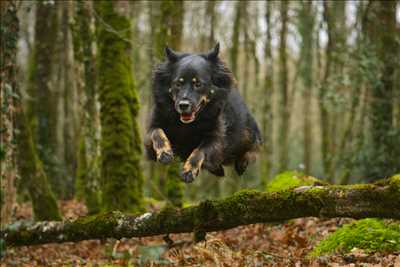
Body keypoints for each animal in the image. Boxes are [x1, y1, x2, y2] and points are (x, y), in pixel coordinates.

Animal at [145, 44, 260, 184]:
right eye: (178, 83)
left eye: (198, 84)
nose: (183, 105)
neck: (187, 123)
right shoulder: (154, 124)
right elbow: (157, 133)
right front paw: (164, 152)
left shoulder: (215, 137)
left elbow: (200, 151)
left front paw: (189, 171)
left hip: (246, 132)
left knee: (253, 146)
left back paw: (242, 163)